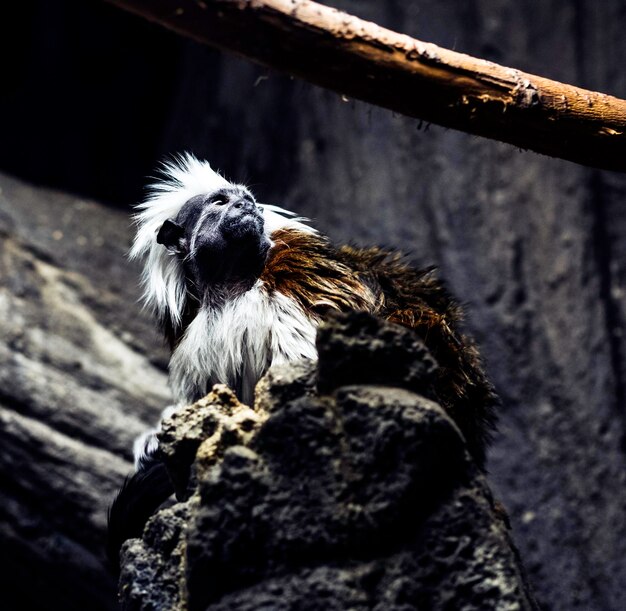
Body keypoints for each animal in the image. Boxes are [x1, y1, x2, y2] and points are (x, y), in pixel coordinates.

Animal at [108, 154, 498, 572]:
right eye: (220, 202)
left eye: (245, 199)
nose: (245, 206)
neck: (231, 287)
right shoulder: (193, 331)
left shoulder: (296, 278)